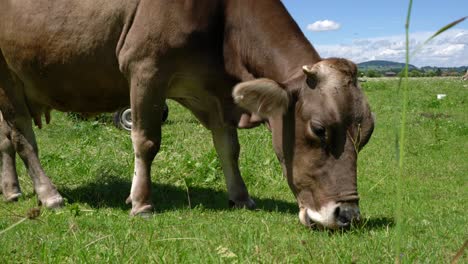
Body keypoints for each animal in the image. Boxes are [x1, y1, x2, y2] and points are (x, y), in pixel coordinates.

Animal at [0, 1, 372, 229]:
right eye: (319, 129)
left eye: (366, 134)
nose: (347, 215)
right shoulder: (146, 67)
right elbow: (146, 142)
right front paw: (141, 203)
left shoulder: (212, 90)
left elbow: (228, 148)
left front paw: (241, 197)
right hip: (8, 80)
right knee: (23, 140)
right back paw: (50, 195)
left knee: (4, 140)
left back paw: (12, 191)